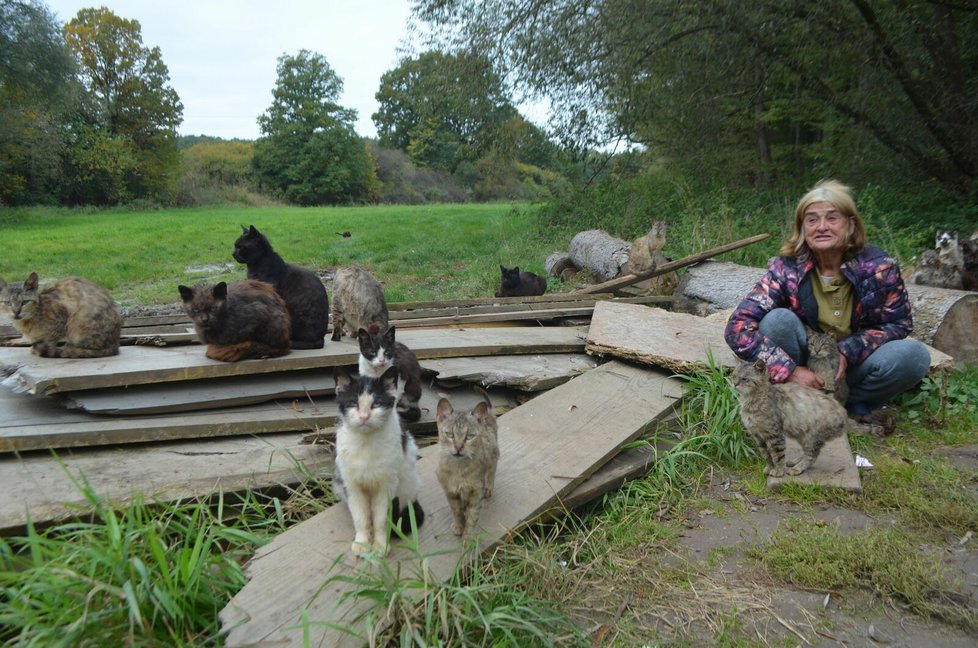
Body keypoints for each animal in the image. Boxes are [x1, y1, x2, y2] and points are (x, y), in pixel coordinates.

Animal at [332, 364, 424, 556]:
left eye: (377, 404)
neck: (366, 443)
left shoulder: (387, 486)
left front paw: (380, 546)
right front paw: (362, 542)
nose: (364, 417)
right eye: (353, 403)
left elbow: (381, 519)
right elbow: (361, 517)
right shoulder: (351, 485)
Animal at [434, 394, 500, 536]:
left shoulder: (476, 492)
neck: (459, 468)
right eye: (450, 434)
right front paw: (459, 526)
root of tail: (489, 411)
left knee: (491, 471)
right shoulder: (450, 491)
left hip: (493, 454)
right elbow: (457, 512)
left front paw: (468, 536)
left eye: (469, 436)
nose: (458, 447)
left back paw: (488, 488)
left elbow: (472, 516)